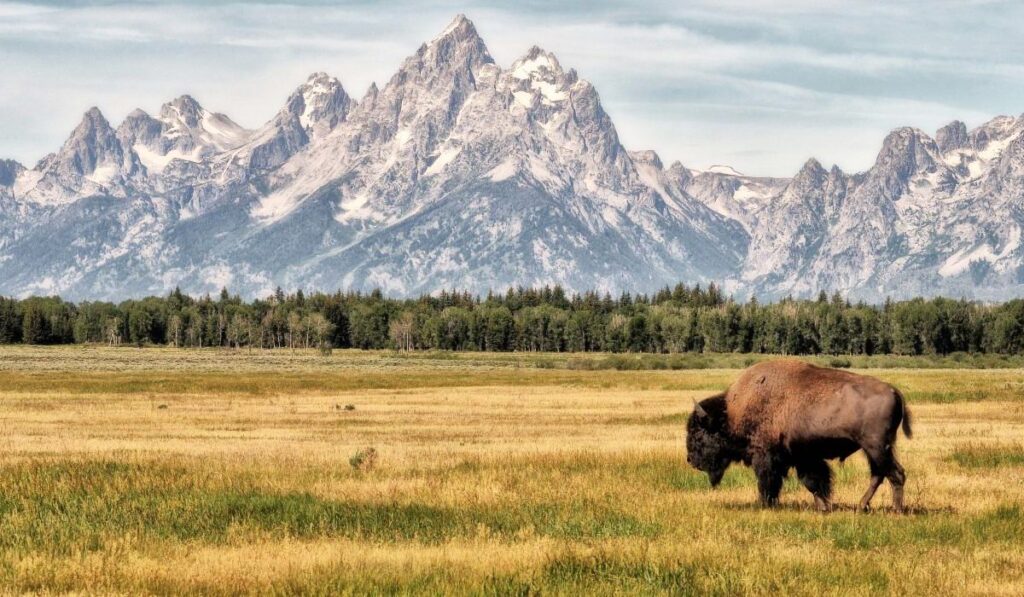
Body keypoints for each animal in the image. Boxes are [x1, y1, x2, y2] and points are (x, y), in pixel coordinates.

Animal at [688, 360, 913, 514]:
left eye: (698, 434)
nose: (690, 460)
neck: (731, 413)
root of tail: (893, 390)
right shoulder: (804, 457)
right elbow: (814, 482)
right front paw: (823, 507)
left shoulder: (766, 457)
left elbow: (769, 482)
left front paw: (764, 504)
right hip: (873, 450)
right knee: (879, 475)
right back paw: (861, 506)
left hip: (876, 447)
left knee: (896, 474)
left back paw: (896, 510)